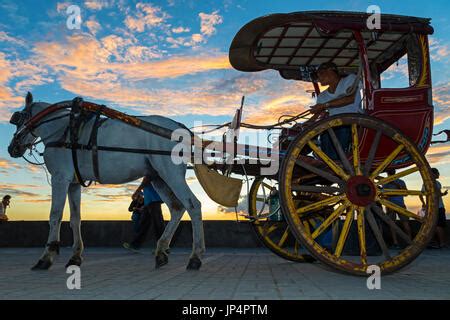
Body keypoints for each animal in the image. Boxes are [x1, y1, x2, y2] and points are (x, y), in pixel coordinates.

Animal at [7, 92, 205, 270]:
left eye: (18, 118)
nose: (12, 148)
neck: (63, 131)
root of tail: (180, 128)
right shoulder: (73, 183)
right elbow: (75, 218)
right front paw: (75, 256)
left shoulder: (60, 178)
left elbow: (55, 215)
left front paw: (46, 257)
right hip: (158, 177)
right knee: (177, 208)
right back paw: (162, 251)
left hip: (170, 173)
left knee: (193, 205)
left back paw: (195, 256)